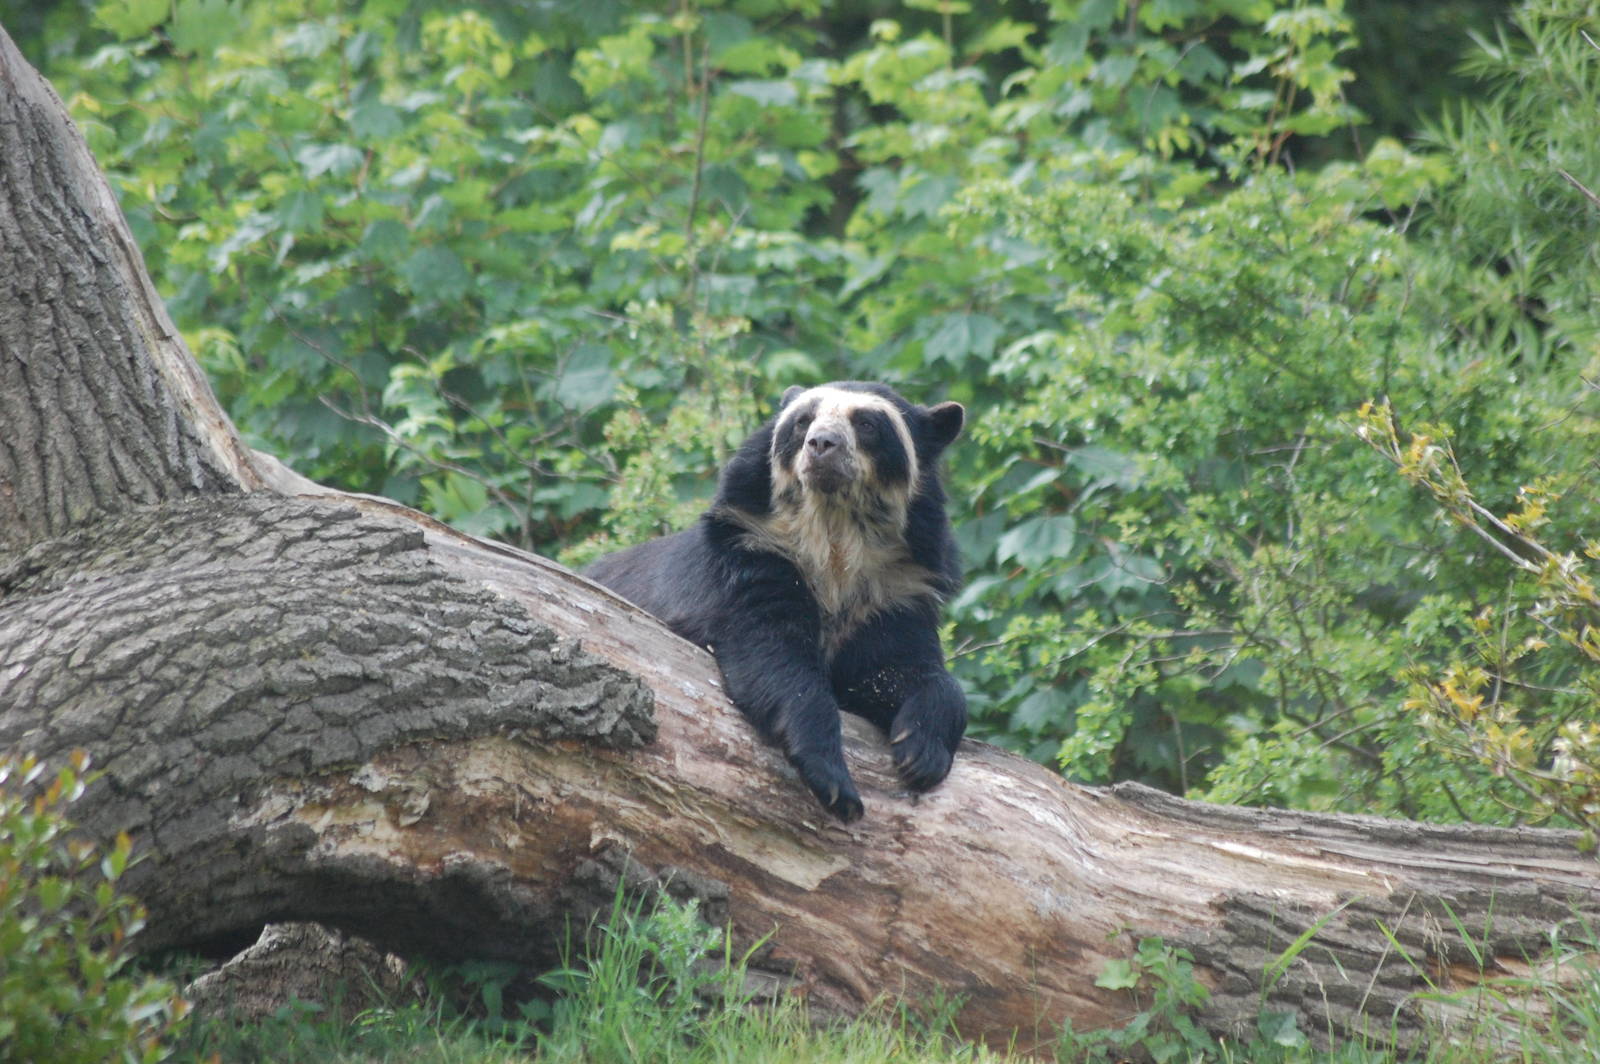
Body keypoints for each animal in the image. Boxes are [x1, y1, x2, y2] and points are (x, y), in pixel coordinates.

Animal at [586, 381, 967, 822]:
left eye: (867, 424)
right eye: (802, 421)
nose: (822, 444)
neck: (835, 539)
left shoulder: (895, 594)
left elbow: (901, 669)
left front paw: (920, 753)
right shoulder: (750, 559)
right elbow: (773, 658)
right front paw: (834, 782)